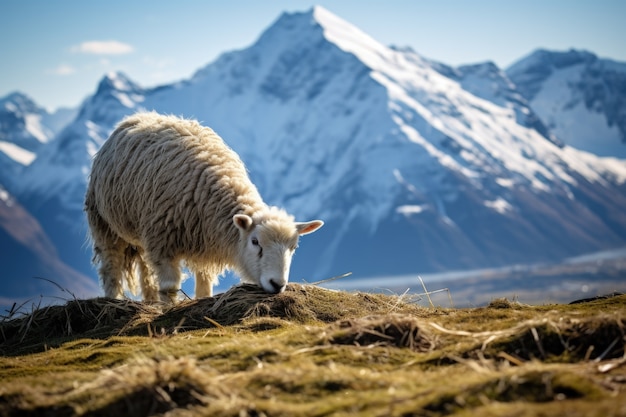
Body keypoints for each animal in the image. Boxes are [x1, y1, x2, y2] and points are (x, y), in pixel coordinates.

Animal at [84, 112, 322, 302]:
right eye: (255, 242)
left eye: (293, 247)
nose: (277, 284)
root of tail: (138, 116)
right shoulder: (162, 240)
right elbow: (169, 288)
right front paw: (168, 310)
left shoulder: (204, 243)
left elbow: (205, 286)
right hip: (104, 223)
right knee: (111, 267)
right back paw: (114, 299)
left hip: (139, 232)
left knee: (146, 270)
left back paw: (150, 302)